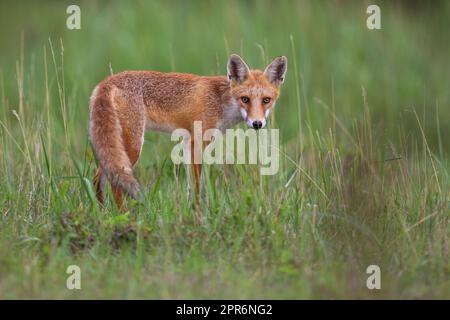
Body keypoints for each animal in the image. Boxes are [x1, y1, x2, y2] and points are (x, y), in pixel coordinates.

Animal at [89, 54, 288, 210]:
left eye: (266, 100)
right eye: (245, 99)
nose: (257, 123)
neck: (221, 102)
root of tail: (106, 81)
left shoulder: (186, 142)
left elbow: (189, 188)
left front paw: (188, 212)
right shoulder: (197, 143)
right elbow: (197, 186)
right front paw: (198, 214)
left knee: (97, 177)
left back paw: (102, 212)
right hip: (133, 145)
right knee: (113, 180)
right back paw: (122, 214)